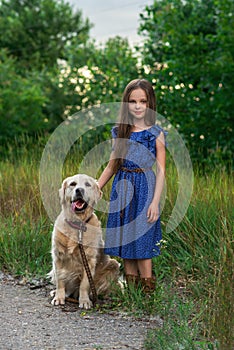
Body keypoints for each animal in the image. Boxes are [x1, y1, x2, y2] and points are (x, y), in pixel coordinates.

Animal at [48, 174, 119, 308]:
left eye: (87, 184)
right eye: (73, 184)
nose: (79, 190)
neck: (77, 224)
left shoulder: (89, 260)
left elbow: (85, 284)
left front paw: (85, 301)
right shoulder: (58, 257)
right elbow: (60, 281)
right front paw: (58, 297)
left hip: (113, 265)